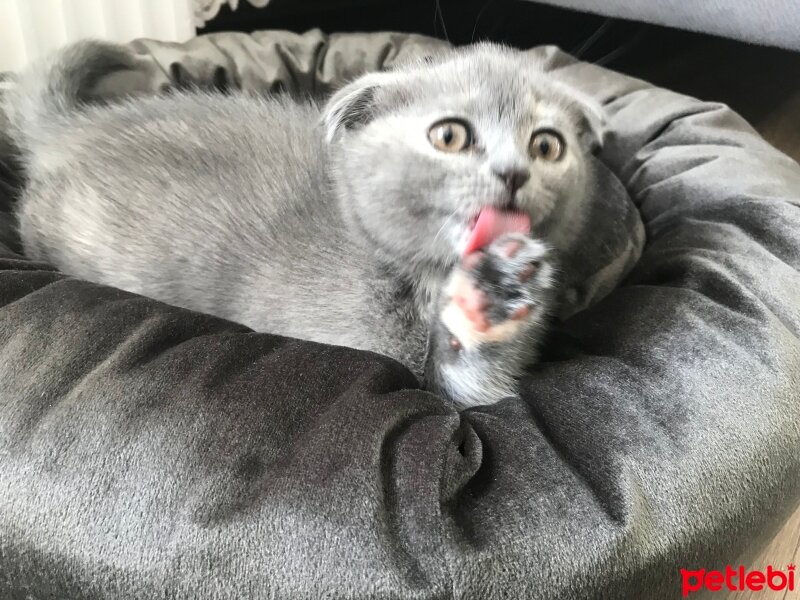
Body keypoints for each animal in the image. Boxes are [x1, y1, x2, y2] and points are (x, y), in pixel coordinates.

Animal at [4, 41, 608, 408]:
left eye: (547, 145)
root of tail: (76, 128)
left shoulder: (475, 391)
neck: (424, 283)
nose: (513, 172)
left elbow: (479, 384)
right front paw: (491, 292)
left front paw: (497, 295)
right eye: (450, 135)